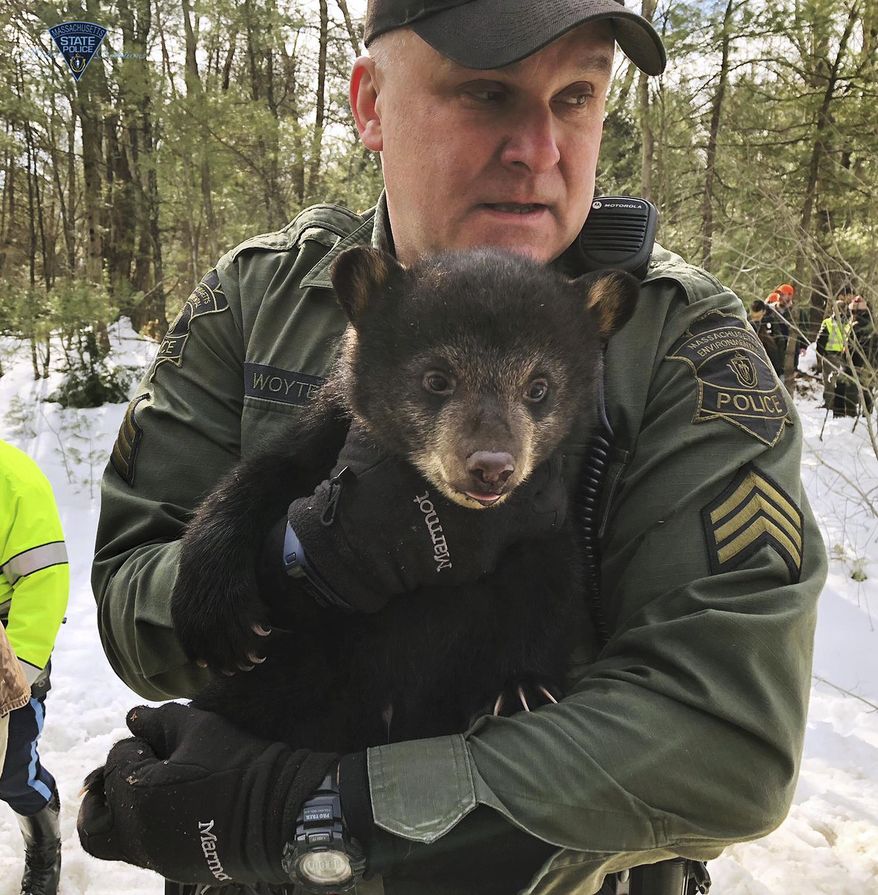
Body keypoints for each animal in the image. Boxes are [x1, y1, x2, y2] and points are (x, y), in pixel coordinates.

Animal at [169, 246, 638, 754]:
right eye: (436, 379)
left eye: (539, 387)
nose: (492, 466)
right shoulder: (328, 435)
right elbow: (263, 475)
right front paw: (216, 619)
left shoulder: (543, 512)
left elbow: (551, 583)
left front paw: (523, 689)